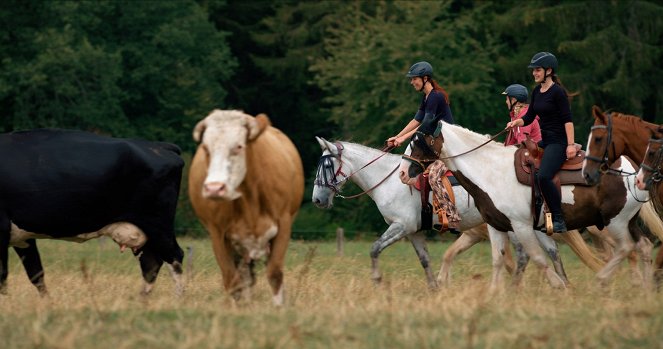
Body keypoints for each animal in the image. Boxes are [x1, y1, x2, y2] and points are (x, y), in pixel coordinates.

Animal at [0, 129, 187, 294]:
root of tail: (160, 145)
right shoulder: (23, 238)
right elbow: (36, 274)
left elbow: (3, 276)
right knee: (151, 263)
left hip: (158, 225)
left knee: (175, 258)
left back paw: (178, 300)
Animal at [188, 109, 304, 304]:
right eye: (206, 148)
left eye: (238, 146)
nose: (214, 188)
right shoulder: (217, 233)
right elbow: (232, 280)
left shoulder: (284, 225)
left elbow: (275, 274)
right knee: (244, 277)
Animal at [312, 137, 600, 288]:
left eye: (326, 166)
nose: (317, 200)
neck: (389, 179)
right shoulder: (413, 232)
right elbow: (425, 259)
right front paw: (434, 289)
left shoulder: (401, 226)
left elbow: (374, 249)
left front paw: (378, 280)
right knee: (551, 251)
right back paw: (561, 283)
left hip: (514, 227)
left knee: (524, 255)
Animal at [400, 123, 660, 290]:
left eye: (418, 142)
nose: (402, 173)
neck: (491, 172)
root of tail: (632, 170)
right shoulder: (496, 226)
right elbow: (498, 259)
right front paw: (494, 294)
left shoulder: (522, 226)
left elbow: (537, 258)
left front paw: (558, 285)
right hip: (627, 221)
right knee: (643, 247)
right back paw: (644, 288)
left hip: (614, 222)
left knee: (626, 248)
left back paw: (604, 279)